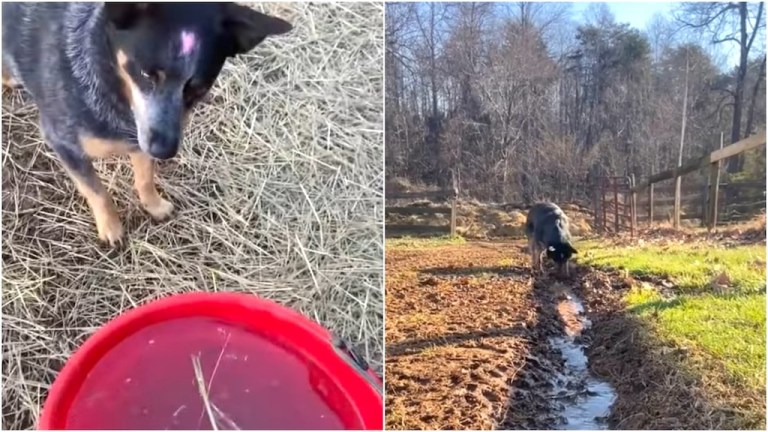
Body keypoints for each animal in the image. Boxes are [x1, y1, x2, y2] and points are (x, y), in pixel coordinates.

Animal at [2, 2, 292, 246]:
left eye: (199, 87)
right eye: (145, 74)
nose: (165, 150)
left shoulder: (144, 138)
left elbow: (145, 177)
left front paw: (154, 205)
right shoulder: (63, 142)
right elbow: (97, 191)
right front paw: (111, 228)